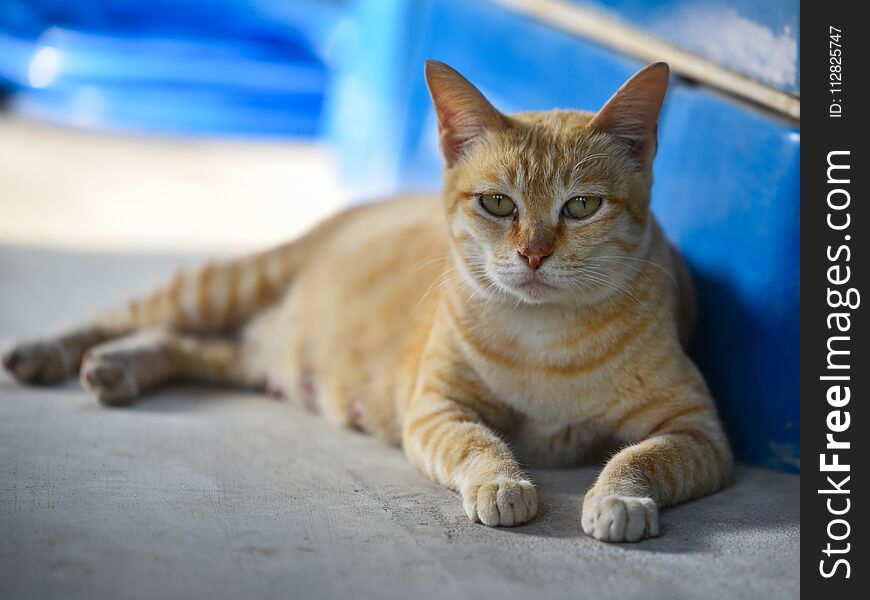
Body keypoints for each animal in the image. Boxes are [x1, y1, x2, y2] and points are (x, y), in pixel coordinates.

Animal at [3, 62, 732, 544]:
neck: (545, 337)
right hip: (226, 284)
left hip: (247, 348)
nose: (532, 255)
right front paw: (502, 483)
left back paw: (117, 370)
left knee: (192, 347)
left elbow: (638, 458)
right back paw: (50, 354)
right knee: (128, 317)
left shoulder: (697, 431)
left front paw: (618, 499)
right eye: (499, 203)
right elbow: (479, 444)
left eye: (581, 207)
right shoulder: (437, 410)